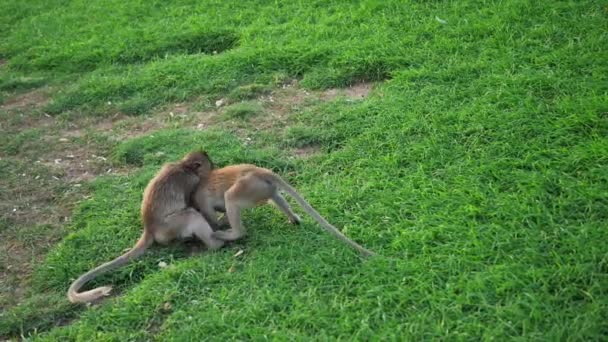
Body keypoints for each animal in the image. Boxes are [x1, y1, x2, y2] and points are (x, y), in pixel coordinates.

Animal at [67, 151, 223, 304]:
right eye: (210, 166)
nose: (213, 169)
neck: (184, 166)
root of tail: (149, 228)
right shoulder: (192, 181)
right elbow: (192, 203)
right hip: (171, 226)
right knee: (191, 214)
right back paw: (216, 244)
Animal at [192, 155, 376, 256]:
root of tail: (259, 171)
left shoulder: (200, 197)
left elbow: (211, 215)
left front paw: (217, 224)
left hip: (247, 187)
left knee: (230, 197)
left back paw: (236, 234)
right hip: (261, 187)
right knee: (276, 196)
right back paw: (294, 219)